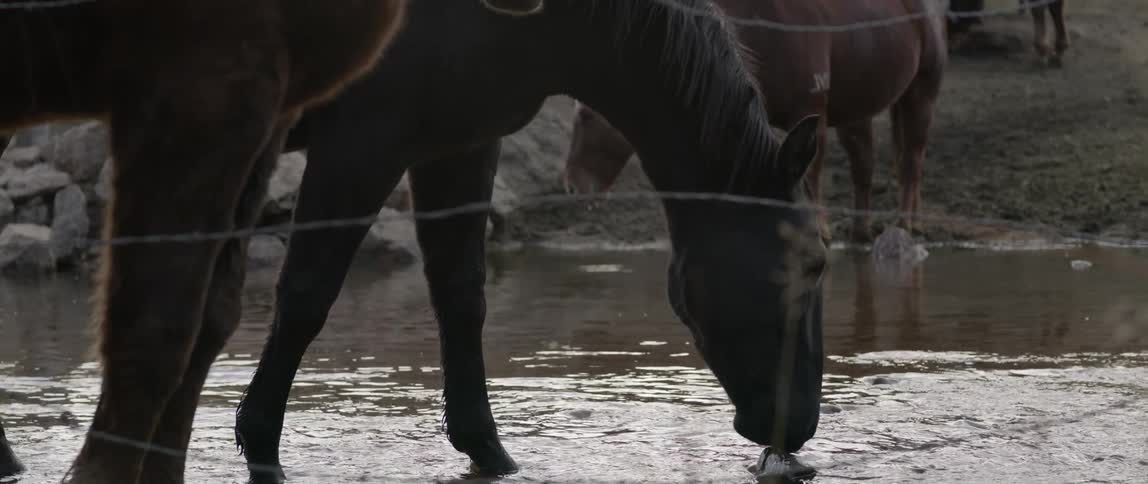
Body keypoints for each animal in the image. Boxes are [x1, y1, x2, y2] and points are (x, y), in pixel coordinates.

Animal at [232, 0, 828, 482]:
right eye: (815, 262)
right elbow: (307, 295)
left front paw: (486, 449)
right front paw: (259, 444)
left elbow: (461, 296)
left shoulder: (457, 145)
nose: (797, 426)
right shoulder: (360, 144)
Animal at [562, 0, 948, 243]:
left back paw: (907, 222)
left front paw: (819, 230)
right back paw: (864, 231)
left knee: (912, 159)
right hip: (859, 108)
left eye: (585, 115)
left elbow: (812, 173)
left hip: (921, 92)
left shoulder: (810, 109)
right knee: (866, 166)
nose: (570, 186)